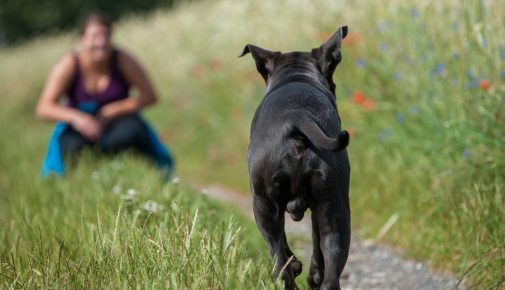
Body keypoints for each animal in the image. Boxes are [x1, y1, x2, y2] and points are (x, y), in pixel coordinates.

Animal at [240, 26, 350, 288]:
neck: (297, 76)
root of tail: (297, 115)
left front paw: (298, 264)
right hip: (334, 208)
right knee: (328, 263)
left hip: (264, 205)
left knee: (280, 261)